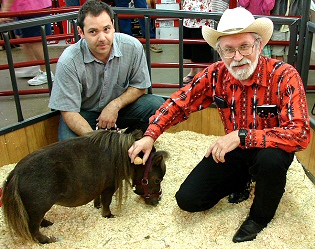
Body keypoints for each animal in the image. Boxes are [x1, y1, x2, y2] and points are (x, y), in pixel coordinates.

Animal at [1, 130, 168, 243]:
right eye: (157, 180)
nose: (157, 200)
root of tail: (16, 173)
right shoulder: (109, 186)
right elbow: (106, 201)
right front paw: (108, 215)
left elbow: (98, 198)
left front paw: (97, 206)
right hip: (38, 208)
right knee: (33, 229)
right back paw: (47, 239)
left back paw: (48, 224)